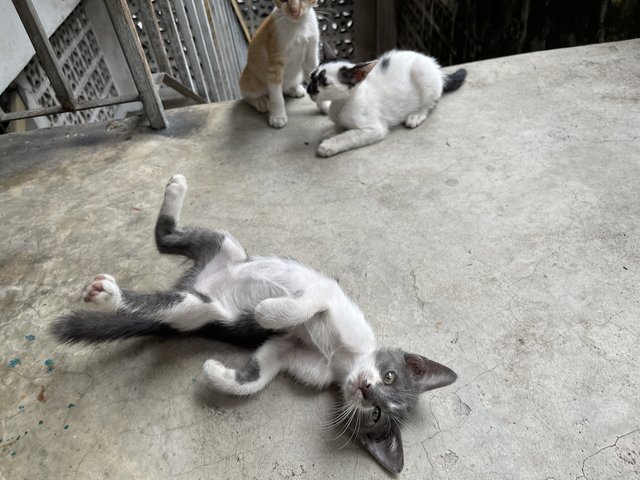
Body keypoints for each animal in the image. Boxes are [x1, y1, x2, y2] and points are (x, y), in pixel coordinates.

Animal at [52, 175, 458, 472]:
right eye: (390, 376)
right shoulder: (332, 297)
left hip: (200, 310)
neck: (340, 362)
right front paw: (268, 311)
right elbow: (308, 303)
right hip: (226, 248)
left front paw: (220, 375)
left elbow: (263, 368)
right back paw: (173, 192)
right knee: (171, 238)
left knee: (167, 281)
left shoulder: (289, 351)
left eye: (377, 414)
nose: (367, 389)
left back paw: (113, 296)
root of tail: (195, 282)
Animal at [239, 0, 324, 128]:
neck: (298, 25)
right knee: (247, 95)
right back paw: (260, 101)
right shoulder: (274, 64)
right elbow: (276, 95)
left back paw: (294, 89)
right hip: (249, 79)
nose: (295, 12)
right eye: (283, 1)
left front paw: (324, 103)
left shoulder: (311, 56)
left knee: (285, 87)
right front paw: (277, 116)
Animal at [304, 49, 464, 157]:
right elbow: (340, 125)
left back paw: (416, 115)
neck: (342, 103)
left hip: (422, 74)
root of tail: (436, 67)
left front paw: (329, 144)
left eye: (325, 83)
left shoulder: (374, 129)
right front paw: (332, 131)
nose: (309, 89)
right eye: (312, 76)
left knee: (431, 102)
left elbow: (349, 135)